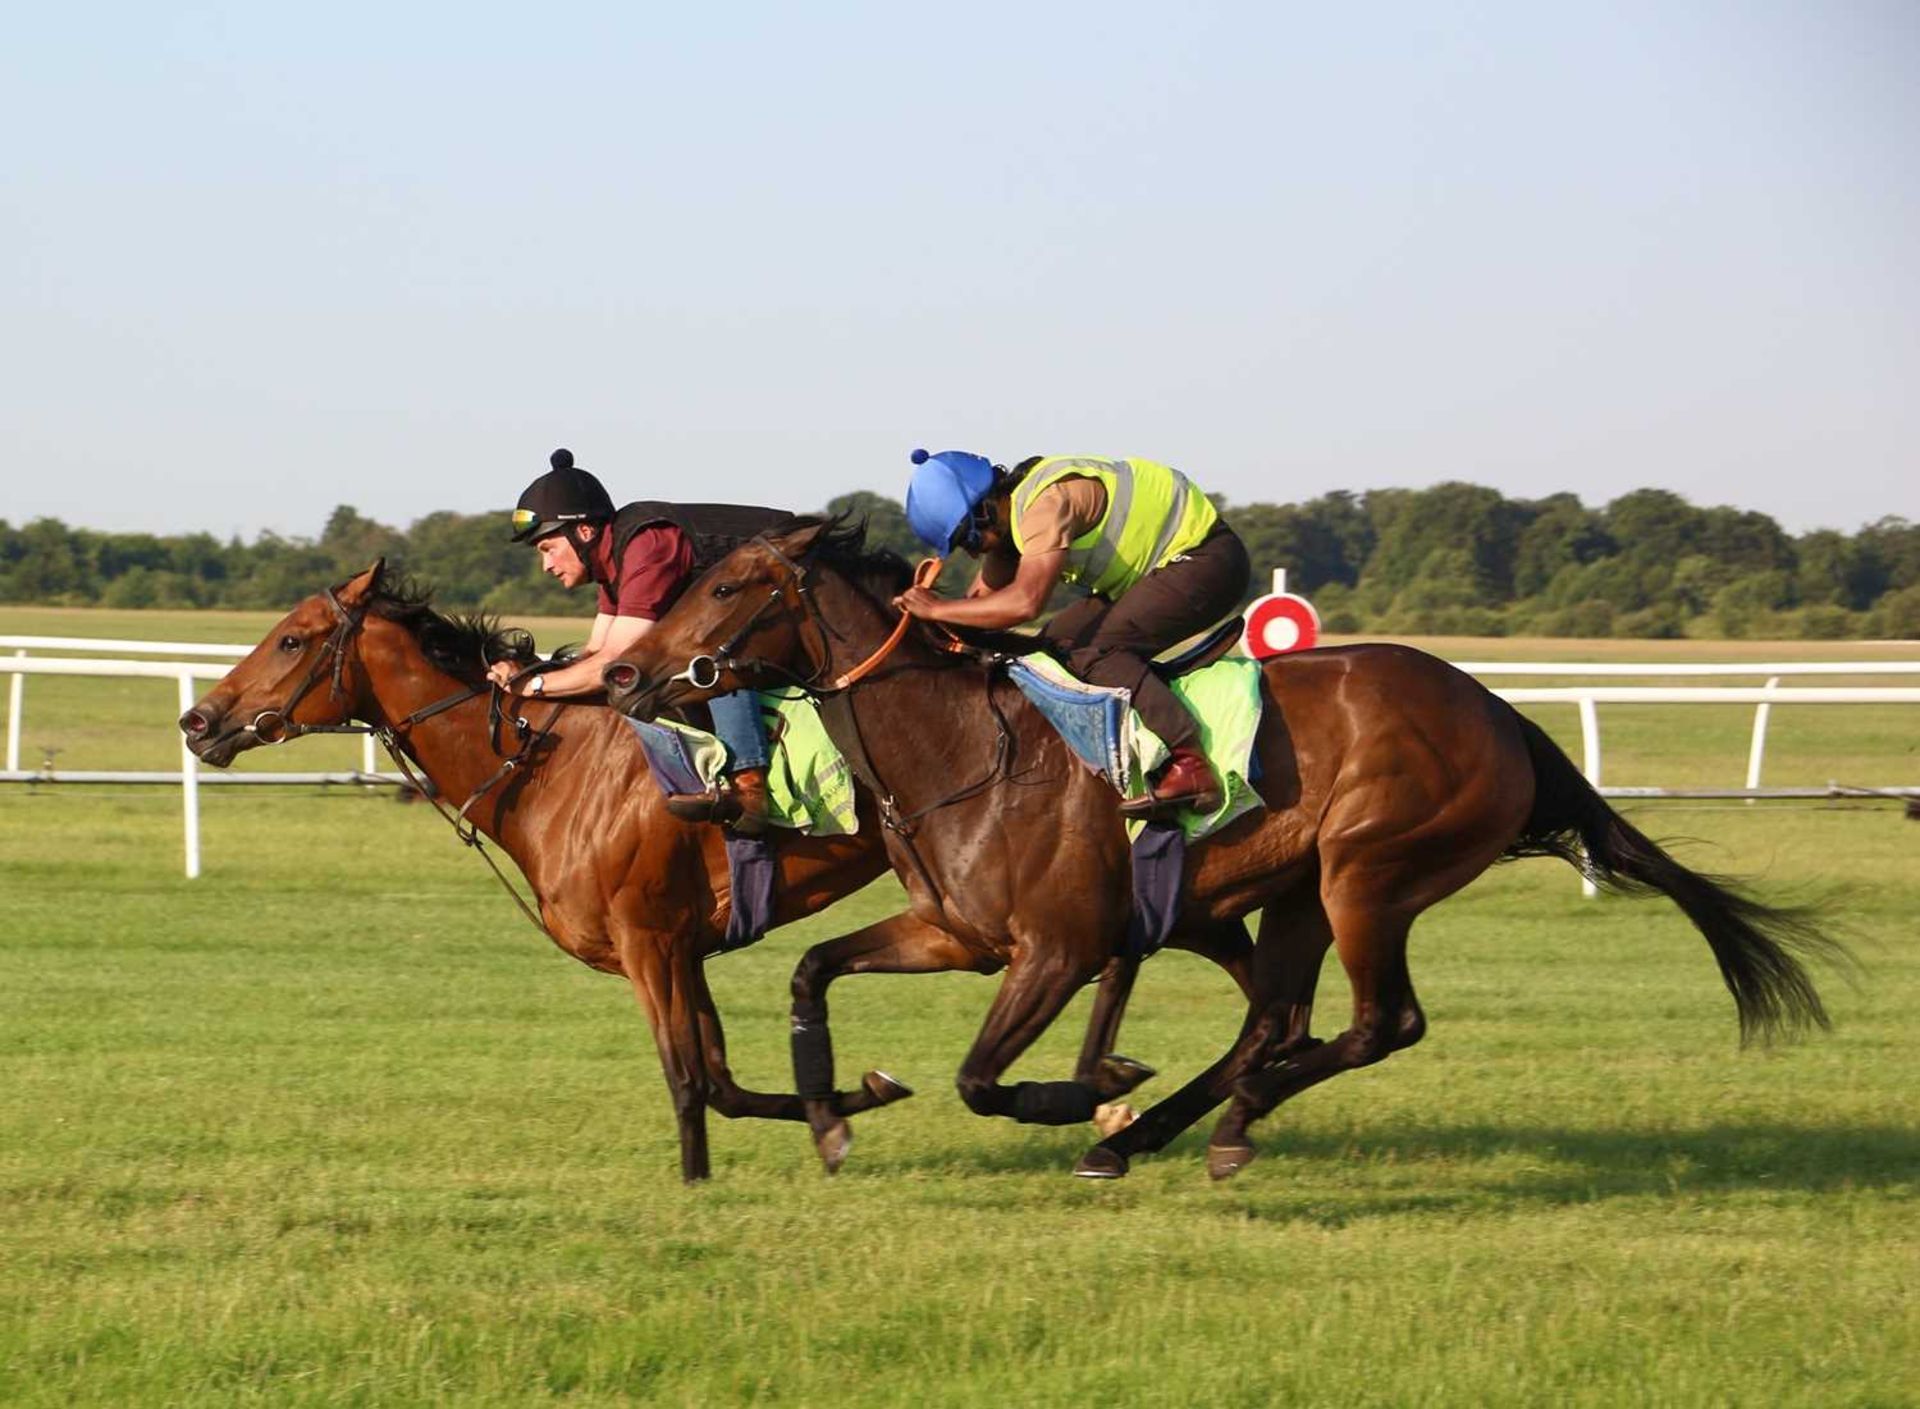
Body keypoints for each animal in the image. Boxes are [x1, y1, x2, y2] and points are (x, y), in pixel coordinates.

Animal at [180, 564, 1244, 1182]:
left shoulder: (651, 939)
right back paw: (1122, 1090)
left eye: (289, 638)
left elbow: (688, 1076)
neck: (549, 764)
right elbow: (724, 1077)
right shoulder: (680, 945)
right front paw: (853, 1099)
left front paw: (701, 1179)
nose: (199, 719)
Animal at [602, 518, 1843, 1182]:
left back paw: (1203, 1117)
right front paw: (834, 1113)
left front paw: (1094, 1087)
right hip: (1299, 893)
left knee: (1375, 1023)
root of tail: (1501, 714)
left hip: (1367, 874)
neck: (961, 745)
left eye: (723, 584)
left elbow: (983, 1078)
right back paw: (1181, 1124)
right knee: (1279, 1019)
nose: (621, 673)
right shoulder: (959, 932)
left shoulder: (1057, 947)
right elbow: (815, 971)